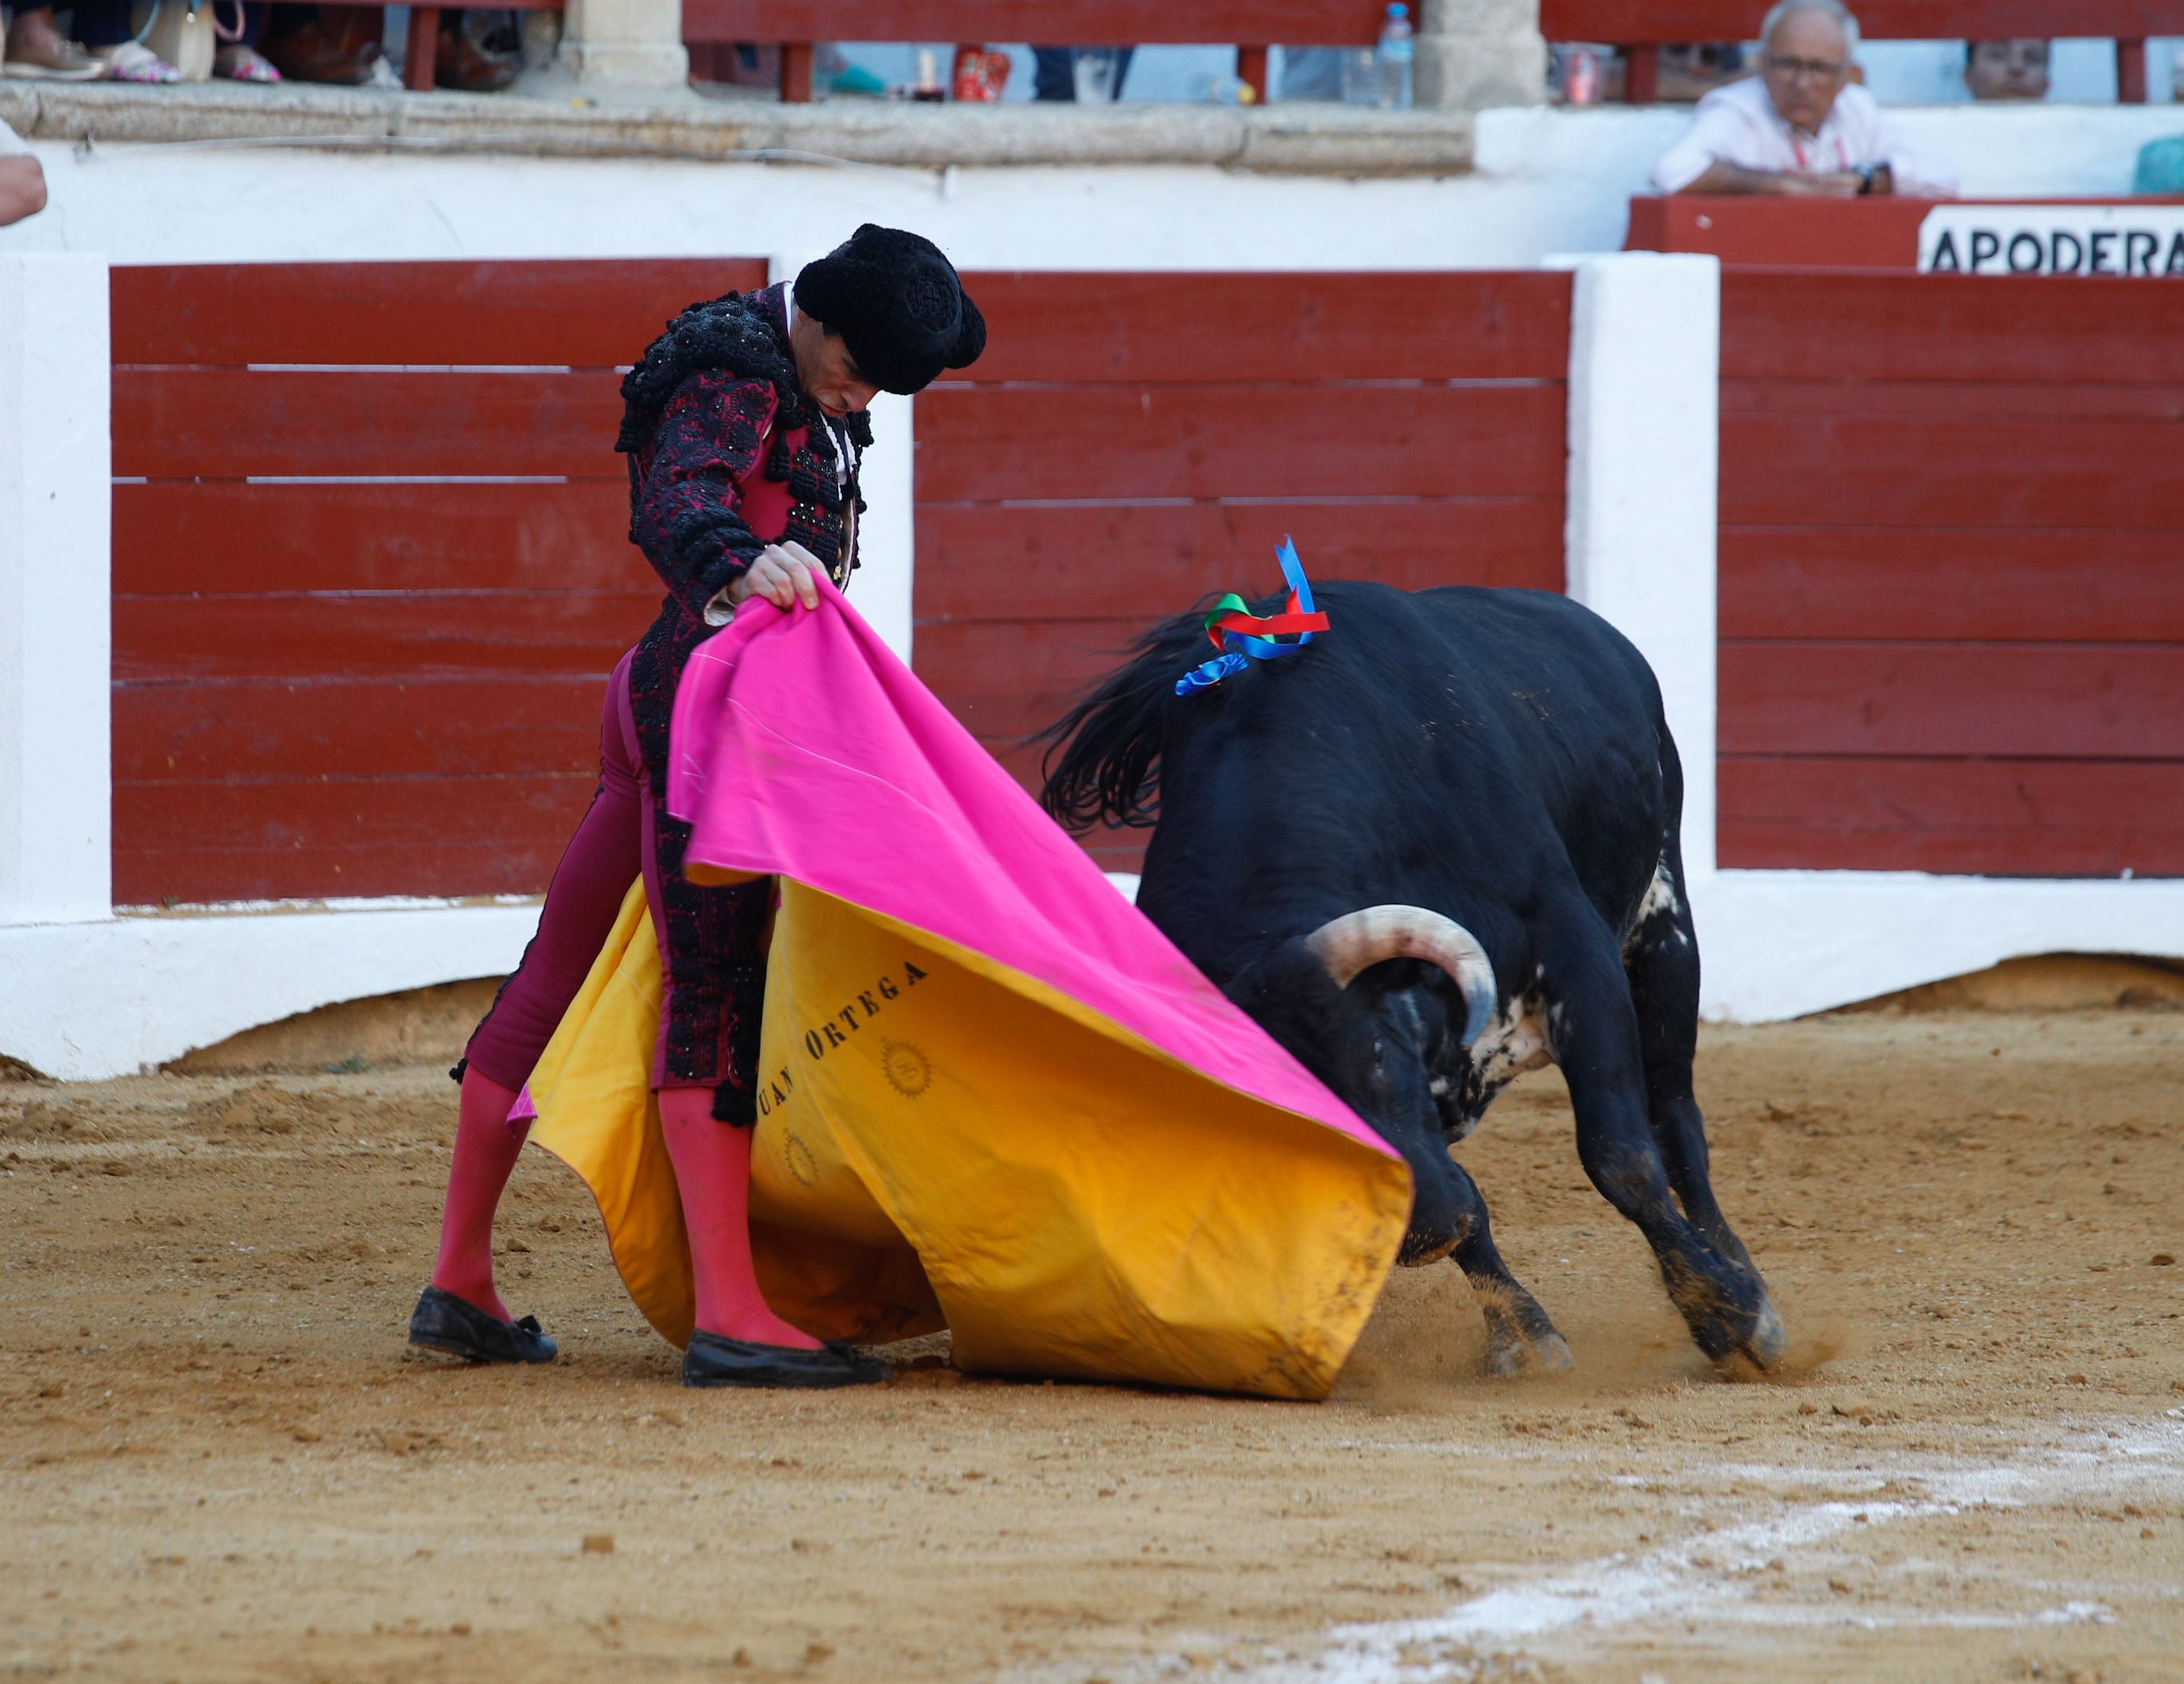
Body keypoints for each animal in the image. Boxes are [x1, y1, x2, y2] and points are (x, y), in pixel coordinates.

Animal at [1044, 585, 1790, 1380]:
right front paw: (1523, 1338)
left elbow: (1621, 1157)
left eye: (1374, 1057)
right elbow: (1478, 1209)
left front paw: (1725, 1317)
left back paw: (1750, 1295)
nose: (1423, 1229)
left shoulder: (1577, 956)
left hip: (1663, 927)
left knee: (1675, 1119)